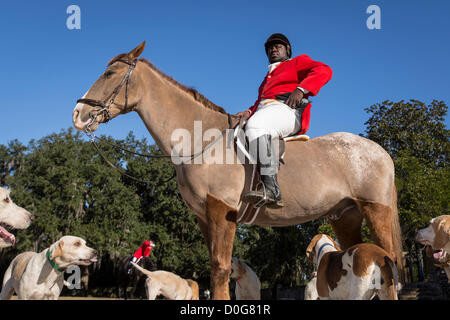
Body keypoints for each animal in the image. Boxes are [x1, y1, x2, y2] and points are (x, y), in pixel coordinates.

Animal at [73, 41, 404, 298]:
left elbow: (220, 269)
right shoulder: (204, 216)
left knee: (390, 263)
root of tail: (380, 150)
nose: (78, 113)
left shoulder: (223, 211)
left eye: (109, 73)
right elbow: (215, 267)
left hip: (376, 210)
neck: (201, 139)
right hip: (345, 216)